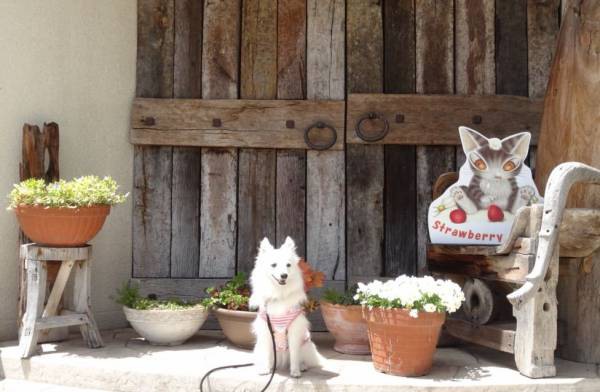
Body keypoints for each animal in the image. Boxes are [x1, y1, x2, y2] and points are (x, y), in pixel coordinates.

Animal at [248, 236, 324, 376]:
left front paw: (295, 371)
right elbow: (267, 354)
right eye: (273, 265)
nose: (284, 275)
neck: (279, 293)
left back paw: (302, 366)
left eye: (288, 265)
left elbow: (294, 354)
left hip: (306, 345)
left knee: (301, 358)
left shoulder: (294, 332)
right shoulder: (267, 331)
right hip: (260, 346)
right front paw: (266, 369)